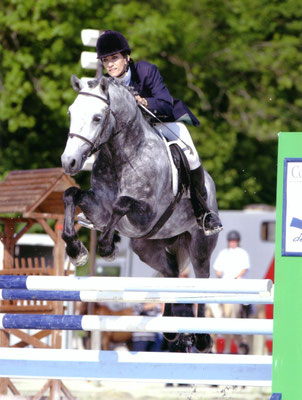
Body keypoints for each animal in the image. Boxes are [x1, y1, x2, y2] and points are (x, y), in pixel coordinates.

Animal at [60, 74, 219, 350]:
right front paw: (76, 250)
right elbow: (71, 195)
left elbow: (122, 204)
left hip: (200, 244)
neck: (121, 155)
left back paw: (201, 338)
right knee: (171, 273)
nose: (68, 162)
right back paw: (170, 329)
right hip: (147, 248)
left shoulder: (147, 215)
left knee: (201, 278)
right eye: (71, 112)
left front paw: (106, 247)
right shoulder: (100, 209)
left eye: (97, 118)